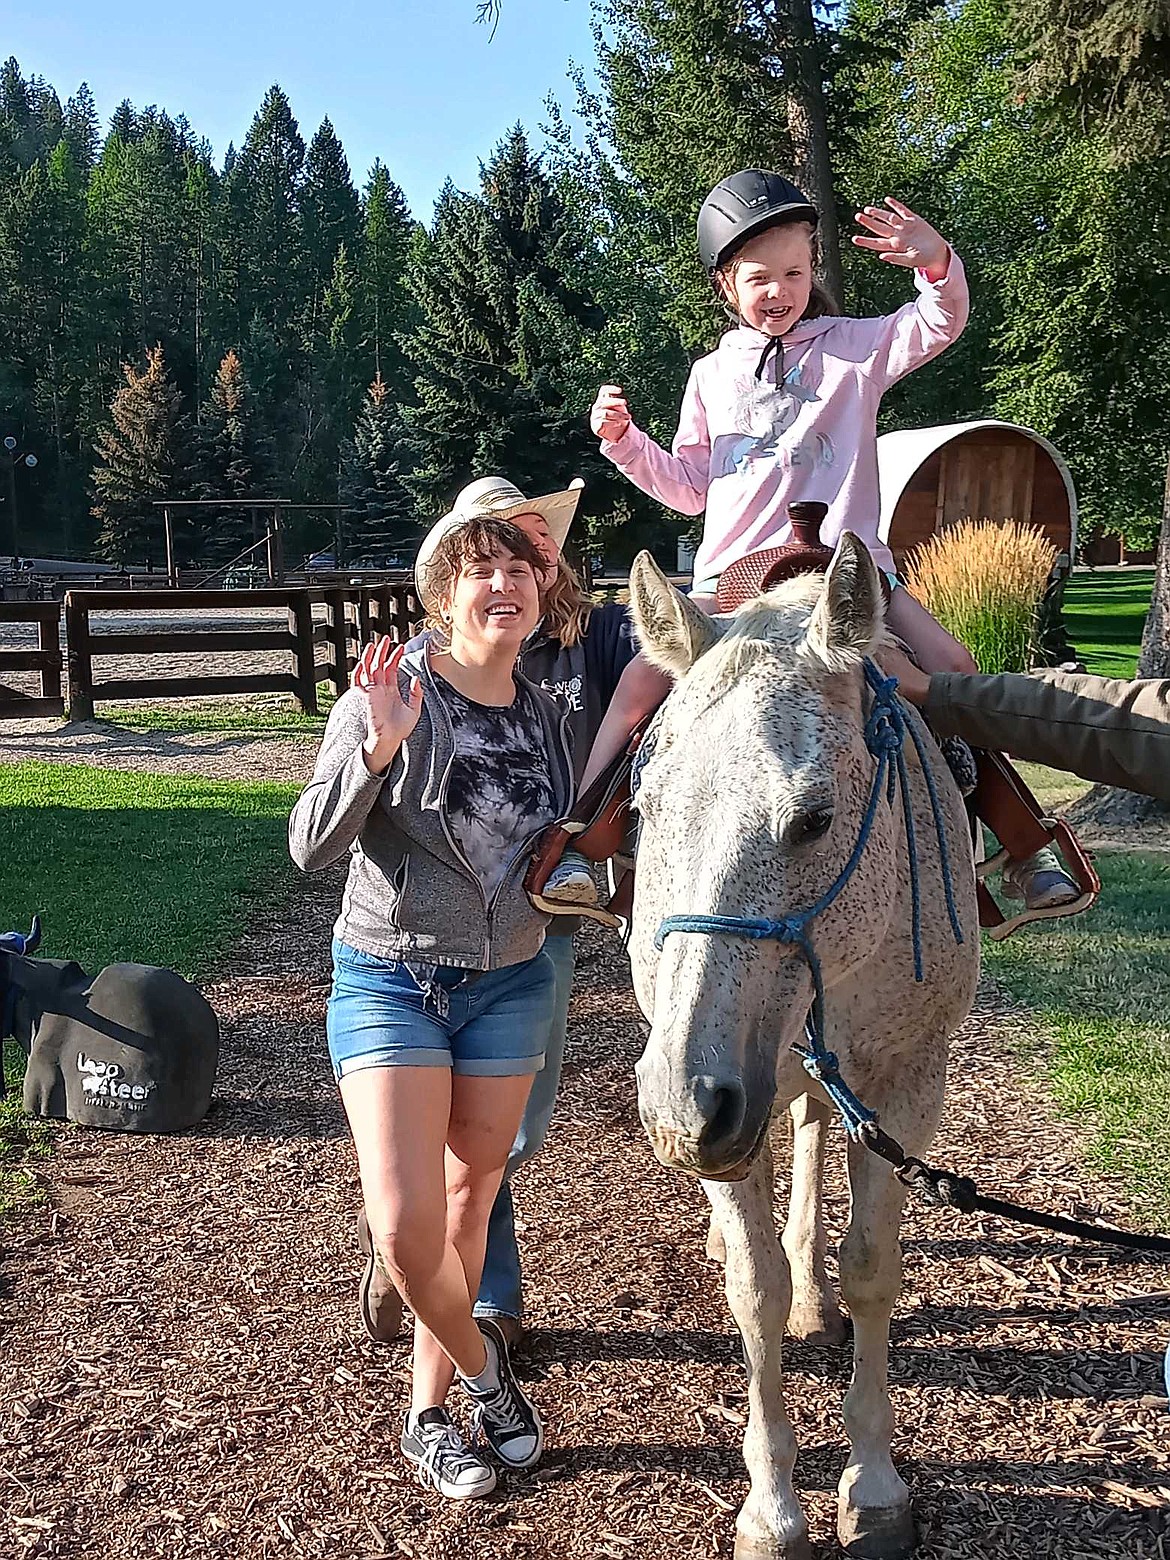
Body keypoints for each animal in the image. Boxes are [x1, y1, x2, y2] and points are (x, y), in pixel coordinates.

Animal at [627, 536, 985, 1560]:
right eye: (646, 805)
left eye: (815, 818)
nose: (684, 1110)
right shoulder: (728, 1095)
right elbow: (755, 1289)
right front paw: (773, 1505)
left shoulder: (905, 1091)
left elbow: (871, 1270)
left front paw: (873, 1485)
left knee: (817, 1130)